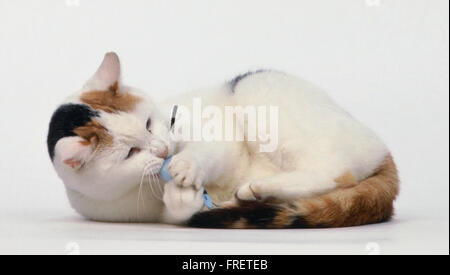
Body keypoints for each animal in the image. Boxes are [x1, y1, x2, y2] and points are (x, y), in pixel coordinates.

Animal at [47, 53, 400, 229]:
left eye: (148, 123)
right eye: (130, 153)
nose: (163, 150)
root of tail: (382, 147)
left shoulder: (220, 139)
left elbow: (209, 151)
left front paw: (186, 166)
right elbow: (179, 209)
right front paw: (181, 193)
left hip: (258, 95)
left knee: (335, 171)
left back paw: (256, 188)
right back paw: (253, 195)